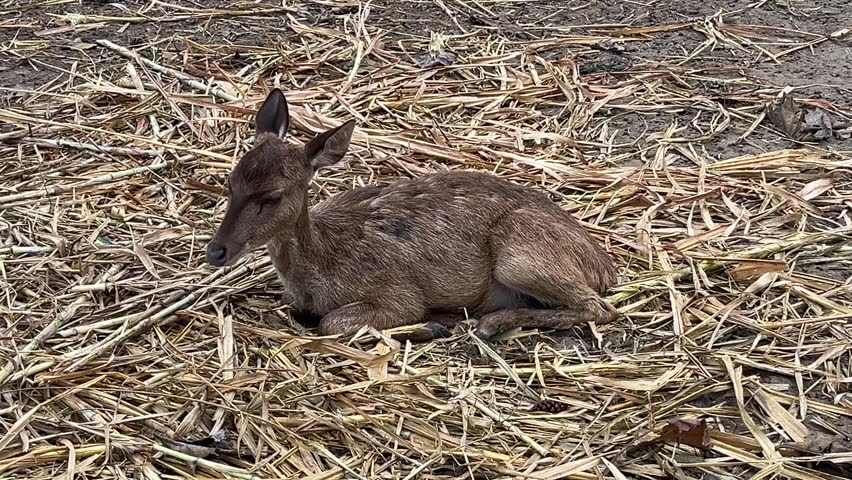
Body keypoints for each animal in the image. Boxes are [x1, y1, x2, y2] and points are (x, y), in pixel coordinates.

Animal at [206, 89, 619, 343]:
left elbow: (331, 322)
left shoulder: (396, 292)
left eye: (272, 196)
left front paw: (431, 325)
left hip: (520, 257)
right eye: (230, 181)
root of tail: (605, 268)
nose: (216, 251)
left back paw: (487, 323)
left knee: (599, 308)